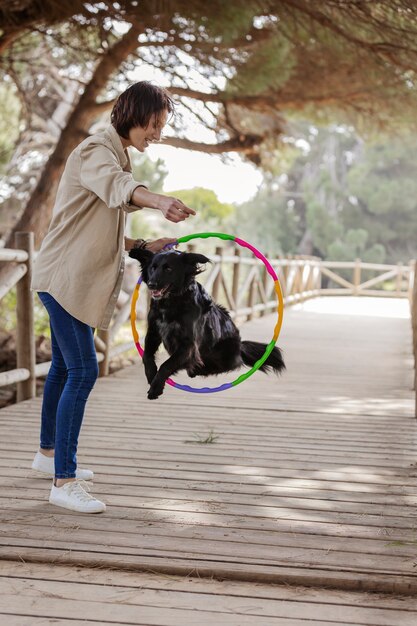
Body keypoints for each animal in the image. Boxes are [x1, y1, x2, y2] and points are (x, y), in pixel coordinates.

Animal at [130, 246, 284, 398]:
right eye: (153, 268)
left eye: (168, 269)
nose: (151, 284)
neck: (171, 302)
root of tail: (240, 346)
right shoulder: (153, 333)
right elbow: (147, 357)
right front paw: (151, 376)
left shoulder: (189, 345)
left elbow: (166, 365)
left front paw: (155, 388)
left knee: (230, 364)